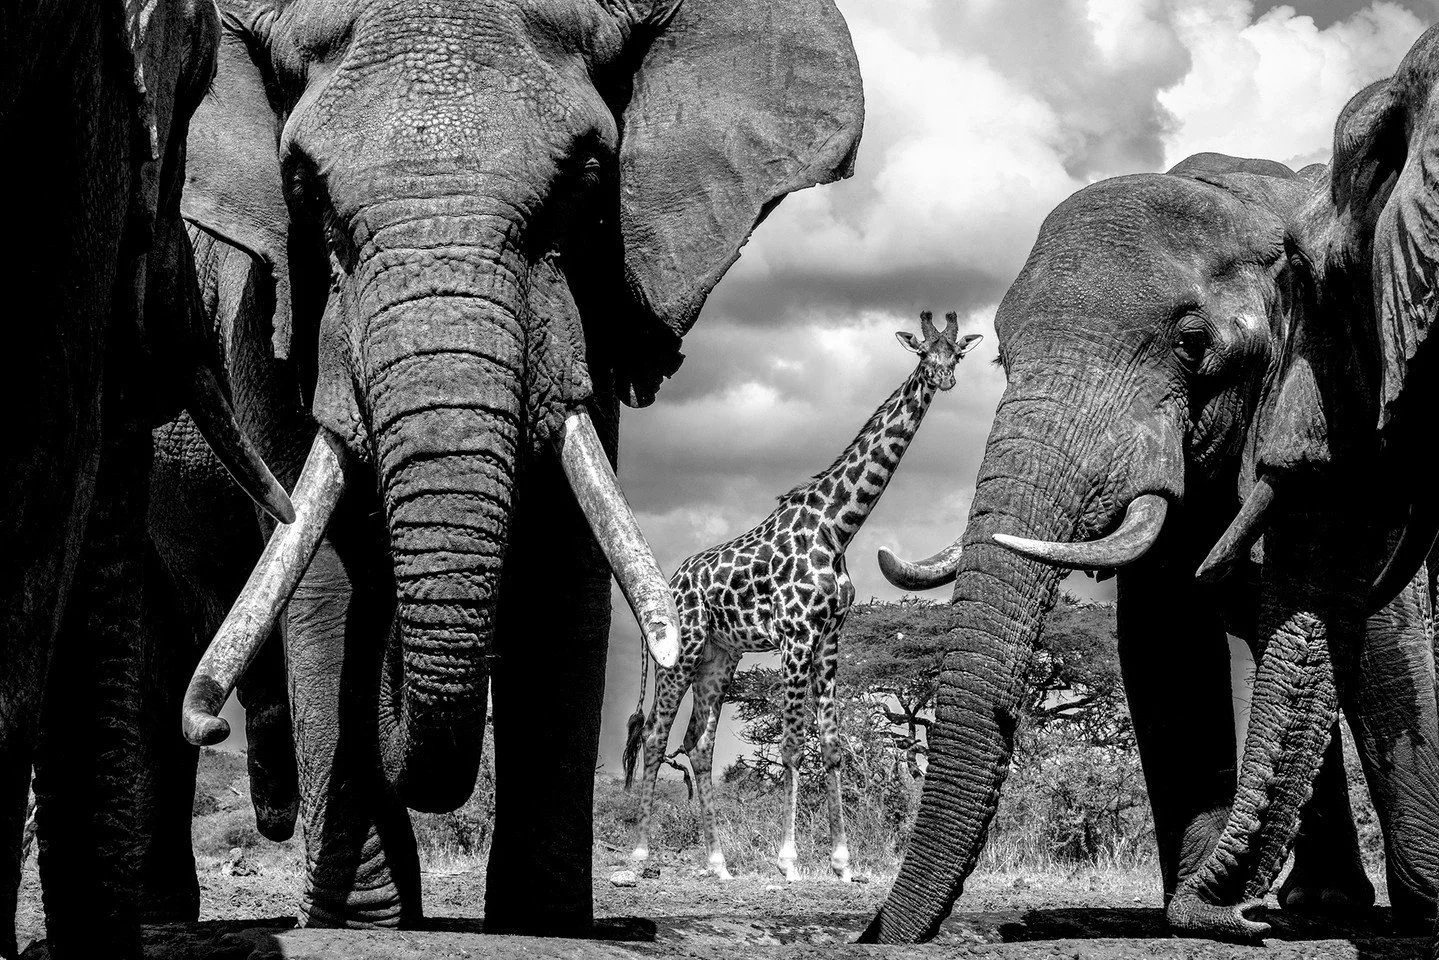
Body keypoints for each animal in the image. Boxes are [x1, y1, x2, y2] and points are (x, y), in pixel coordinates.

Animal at [145, 0, 864, 935]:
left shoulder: (590, 307)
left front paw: (542, 921)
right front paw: (365, 924)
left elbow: (563, 559)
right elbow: (321, 571)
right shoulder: (269, 316)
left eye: (588, 176)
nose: (212, 727)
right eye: (301, 187)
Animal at [622, 311, 982, 882]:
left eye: (958, 354)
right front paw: (789, 861)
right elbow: (792, 743)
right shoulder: (796, 636)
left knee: (698, 746)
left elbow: (831, 744)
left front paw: (842, 862)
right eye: (924, 354)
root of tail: (671, 583)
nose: (944, 378)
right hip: (680, 653)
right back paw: (639, 856)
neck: (838, 529)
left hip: (719, 658)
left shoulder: (831, 636)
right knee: (656, 736)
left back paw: (719, 864)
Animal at [859, 152, 1439, 943]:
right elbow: (1165, 645)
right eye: (1003, 358)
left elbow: (1383, 639)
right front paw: (1198, 912)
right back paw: (1316, 905)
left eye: (1191, 345)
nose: (872, 934)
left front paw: (1425, 911)